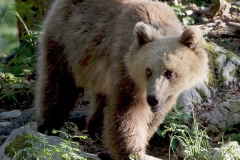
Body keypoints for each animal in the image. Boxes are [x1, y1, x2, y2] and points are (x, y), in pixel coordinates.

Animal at [35, 0, 208, 159]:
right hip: (67, 42)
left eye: (169, 73)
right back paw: (49, 125)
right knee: (58, 85)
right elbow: (126, 113)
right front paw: (132, 152)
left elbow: (153, 117)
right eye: (148, 70)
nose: (153, 98)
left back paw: (95, 127)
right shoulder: (125, 69)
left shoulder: (168, 93)